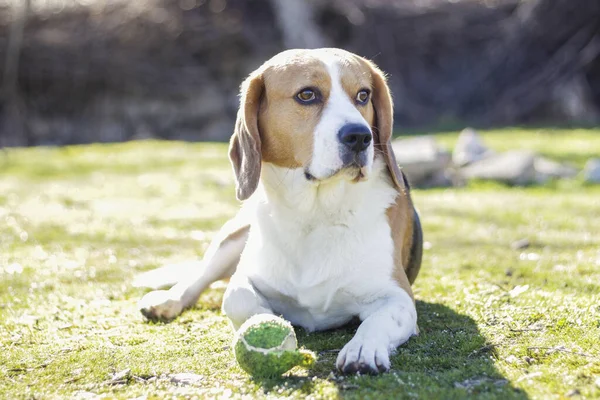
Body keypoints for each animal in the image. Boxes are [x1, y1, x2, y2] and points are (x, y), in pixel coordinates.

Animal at [138, 47, 424, 376]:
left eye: (363, 95)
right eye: (307, 95)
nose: (360, 136)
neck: (315, 213)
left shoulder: (397, 295)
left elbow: (380, 319)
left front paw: (363, 348)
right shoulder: (244, 277)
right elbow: (236, 297)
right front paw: (266, 319)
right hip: (233, 237)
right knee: (197, 277)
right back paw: (167, 300)